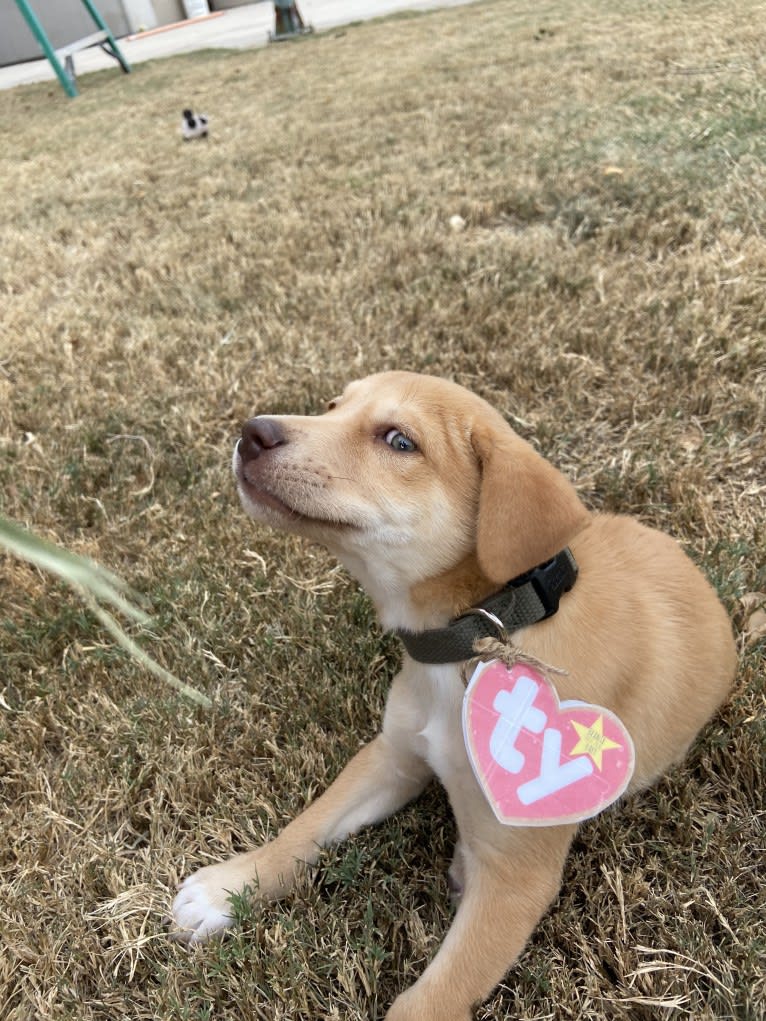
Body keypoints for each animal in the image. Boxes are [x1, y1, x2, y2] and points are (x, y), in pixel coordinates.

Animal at [173, 373, 739, 1021]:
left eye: (399, 441)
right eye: (333, 407)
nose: (252, 433)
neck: (483, 632)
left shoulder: (517, 877)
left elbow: (428, 1001)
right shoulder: (392, 755)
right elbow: (304, 828)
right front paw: (227, 888)